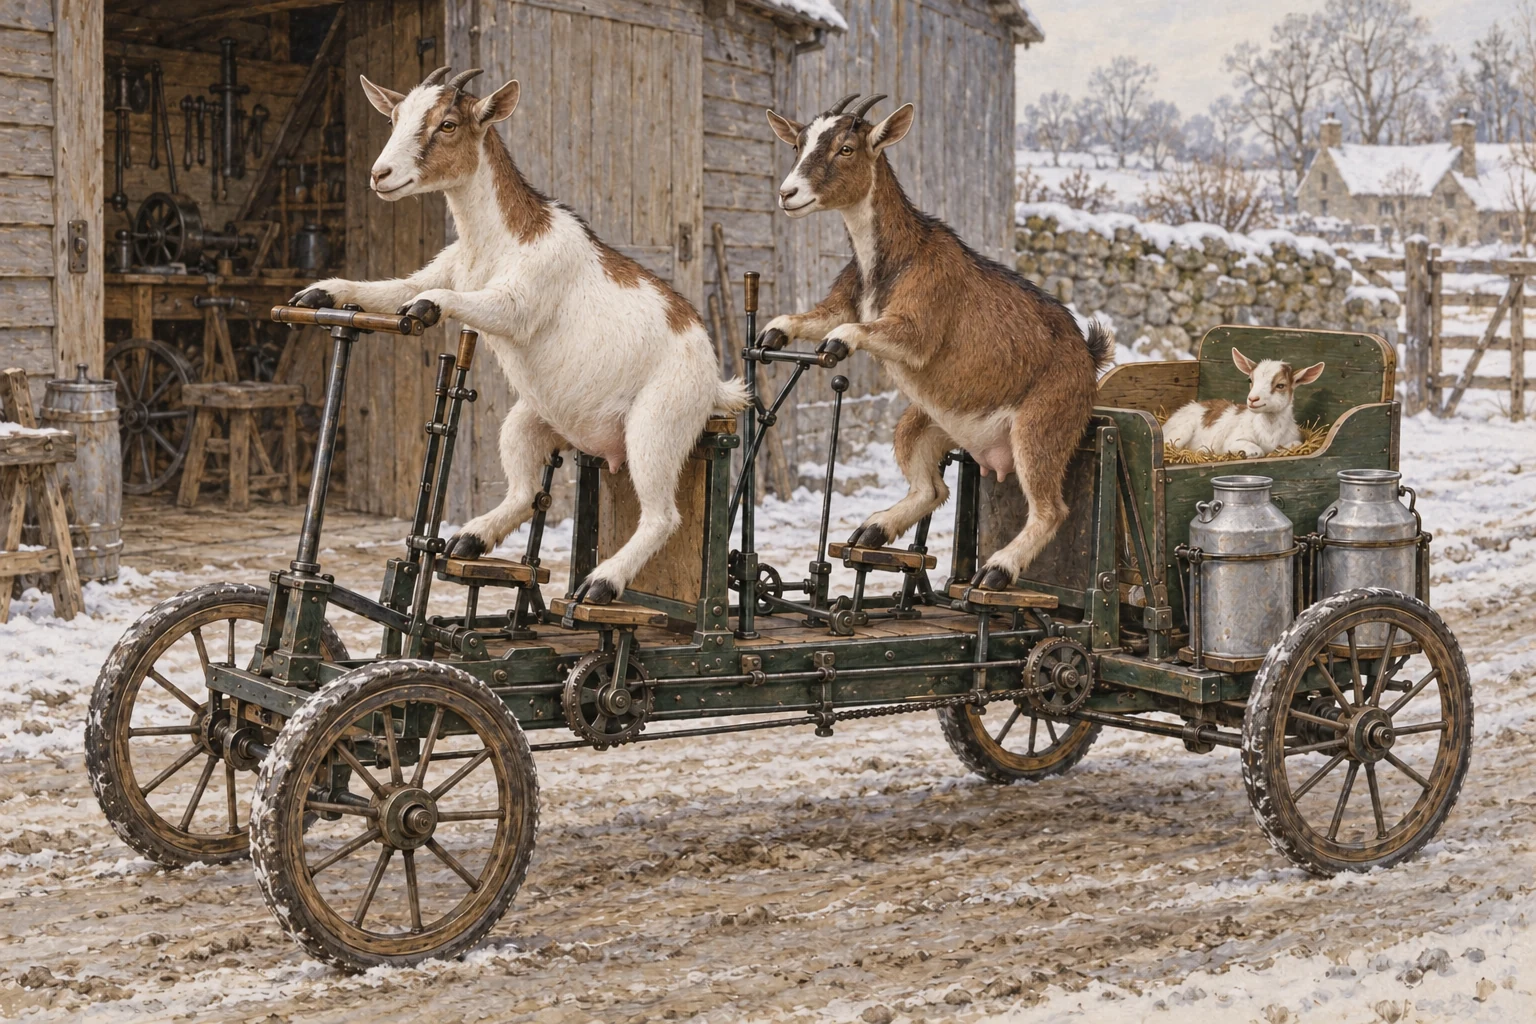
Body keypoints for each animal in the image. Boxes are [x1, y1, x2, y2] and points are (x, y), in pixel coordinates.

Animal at [291, 67, 748, 604]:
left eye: (447, 124)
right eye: (394, 118)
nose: (380, 175)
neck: (499, 241)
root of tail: (715, 382)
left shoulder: (522, 299)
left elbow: (462, 302)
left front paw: (427, 308)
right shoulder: (442, 269)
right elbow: (391, 289)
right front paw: (320, 290)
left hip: (657, 424)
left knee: (662, 515)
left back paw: (601, 581)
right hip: (530, 420)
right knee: (527, 489)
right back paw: (471, 537)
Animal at [762, 94, 1112, 589]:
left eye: (846, 148)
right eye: (798, 145)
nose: (788, 194)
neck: (894, 259)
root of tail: (1089, 357)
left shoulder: (919, 323)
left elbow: (872, 332)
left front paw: (838, 343)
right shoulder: (845, 300)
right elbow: (817, 317)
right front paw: (774, 329)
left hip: (1042, 426)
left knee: (1050, 508)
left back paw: (997, 570)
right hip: (924, 422)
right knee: (933, 487)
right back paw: (873, 528)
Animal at [1162, 349, 1325, 458]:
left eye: (1280, 385)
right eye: (1250, 380)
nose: (1252, 399)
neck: (1269, 434)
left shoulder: (1295, 439)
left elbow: (1293, 445)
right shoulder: (1231, 441)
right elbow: (1257, 450)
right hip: (1180, 432)